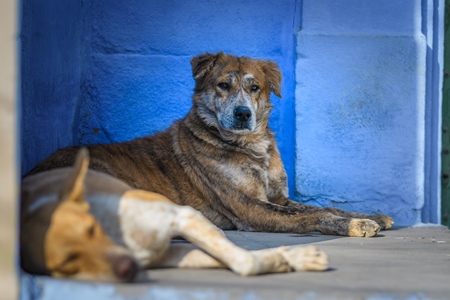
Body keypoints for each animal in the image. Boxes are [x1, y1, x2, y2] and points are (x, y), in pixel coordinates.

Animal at [21, 149, 328, 282]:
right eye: (66, 266)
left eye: (92, 229)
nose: (127, 268)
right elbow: (237, 258)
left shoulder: (183, 216)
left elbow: (238, 254)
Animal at [28, 52, 394, 238]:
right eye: (222, 85)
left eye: (255, 88)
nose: (243, 113)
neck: (251, 147)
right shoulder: (251, 207)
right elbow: (313, 216)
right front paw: (355, 225)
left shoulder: (277, 197)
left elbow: (323, 207)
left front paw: (370, 214)